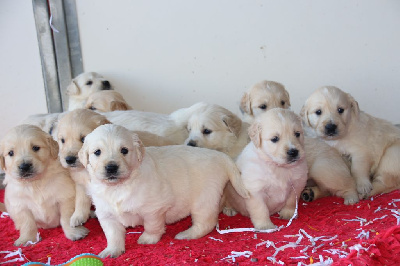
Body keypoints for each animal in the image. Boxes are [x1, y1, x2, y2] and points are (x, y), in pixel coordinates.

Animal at [77, 124, 250, 258]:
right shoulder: (106, 214)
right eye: (97, 152)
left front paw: (148, 239)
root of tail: (221, 156)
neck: (119, 187)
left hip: (204, 200)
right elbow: (113, 234)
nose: (111, 167)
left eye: (124, 150)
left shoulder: (154, 209)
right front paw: (112, 250)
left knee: (206, 223)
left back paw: (185, 234)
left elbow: (152, 226)